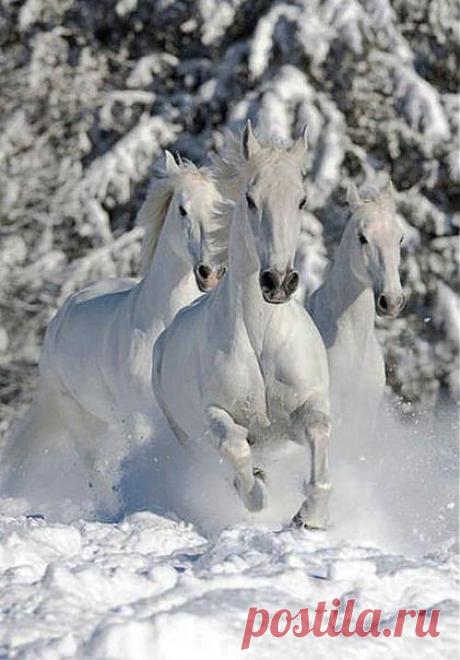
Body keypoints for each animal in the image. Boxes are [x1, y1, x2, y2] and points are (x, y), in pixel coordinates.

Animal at [1, 152, 229, 512]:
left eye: (223, 206)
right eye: (182, 209)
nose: (211, 272)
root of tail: (66, 309)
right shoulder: (140, 417)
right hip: (77, 415)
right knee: (96, 466)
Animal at [153, 122, 332, 529]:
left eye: (301, 200)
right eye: (250, 199)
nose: (278, 281)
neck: (261, 336)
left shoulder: (306, 404)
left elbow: (318, 428)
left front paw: (310, 515)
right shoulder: (215, 413)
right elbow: (234, 445)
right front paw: (257, 492)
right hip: (186, 438)